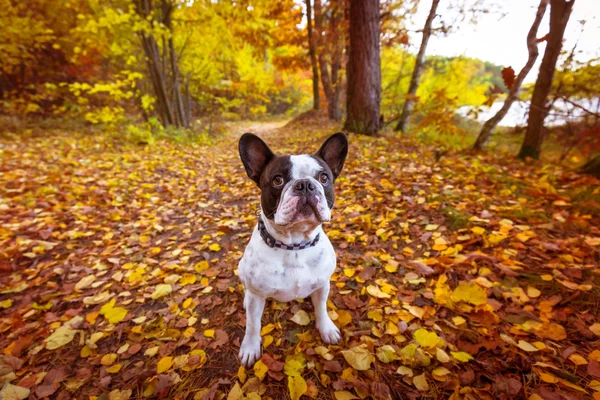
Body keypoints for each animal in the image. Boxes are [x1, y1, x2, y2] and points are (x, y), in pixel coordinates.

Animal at [238, 131, 350, 366]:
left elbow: (321, 308)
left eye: (323, 178)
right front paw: (250, 347)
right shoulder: (256, 296)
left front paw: (326, 328)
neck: (295, 245)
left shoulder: (323, 284)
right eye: (277, 180)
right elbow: (253, 324)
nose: (305, 185)